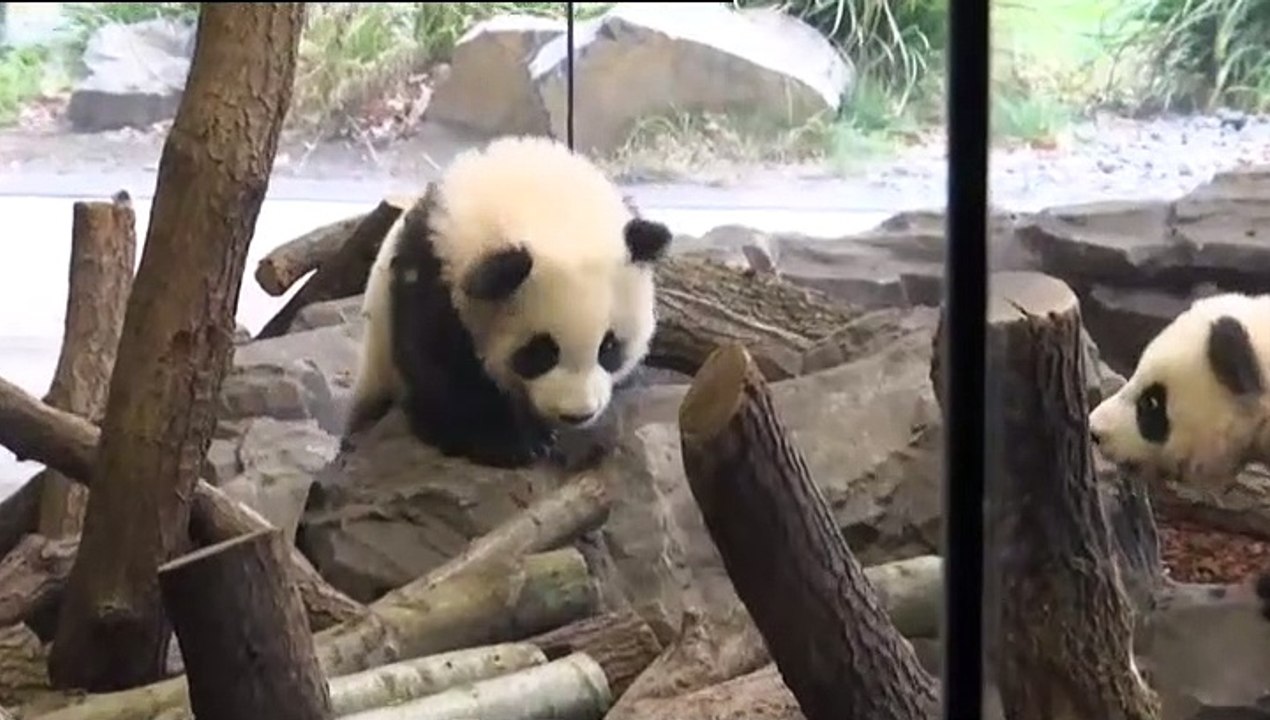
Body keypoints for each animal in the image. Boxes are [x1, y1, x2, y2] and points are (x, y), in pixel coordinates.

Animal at [344, 135, 673, 469]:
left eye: (609, 347)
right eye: (540, 351)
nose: (578, 414)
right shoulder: (433, 274)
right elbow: (441, 366)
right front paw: (517, 443)